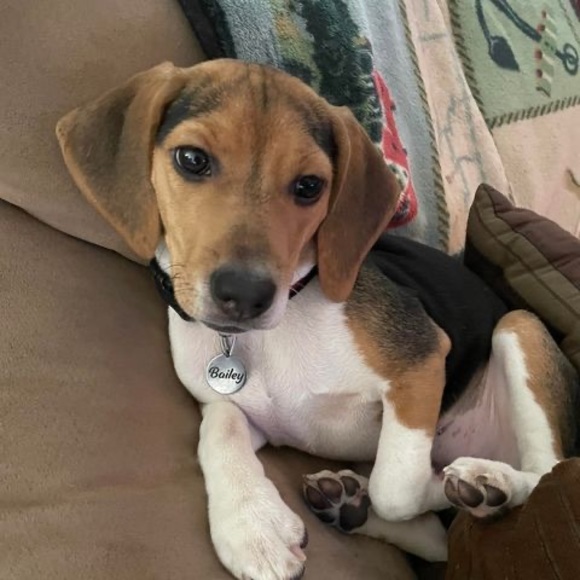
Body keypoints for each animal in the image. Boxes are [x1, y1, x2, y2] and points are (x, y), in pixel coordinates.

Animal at [57, 59, 579, 580]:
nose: (245, 294)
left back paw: (490, 484)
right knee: (439, 539)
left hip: (519, 325)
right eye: (191, 159)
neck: (275, 330)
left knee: (543, 471)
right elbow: (218, 427)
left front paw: (439, 485)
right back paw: (349, 503)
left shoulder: (423, 360)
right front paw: (252, 525)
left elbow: (396, 487)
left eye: (309, 186)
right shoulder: (242, 411)